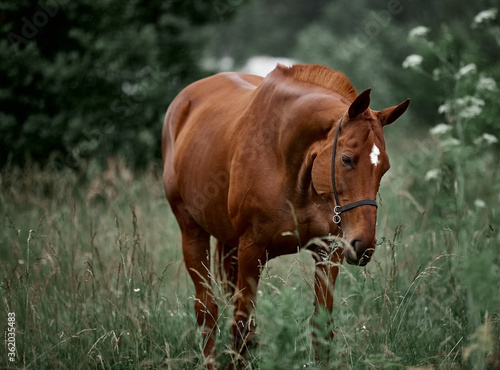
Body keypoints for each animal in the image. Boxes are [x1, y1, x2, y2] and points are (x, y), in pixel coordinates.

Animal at [162, 64, 408, 368]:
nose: (363, 246)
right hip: (192, 231)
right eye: (346, 159)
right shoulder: (251, 251)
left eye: (384, 167)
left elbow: (320, 330)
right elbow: (240, 327)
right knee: (207, 309)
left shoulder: (328, 253)